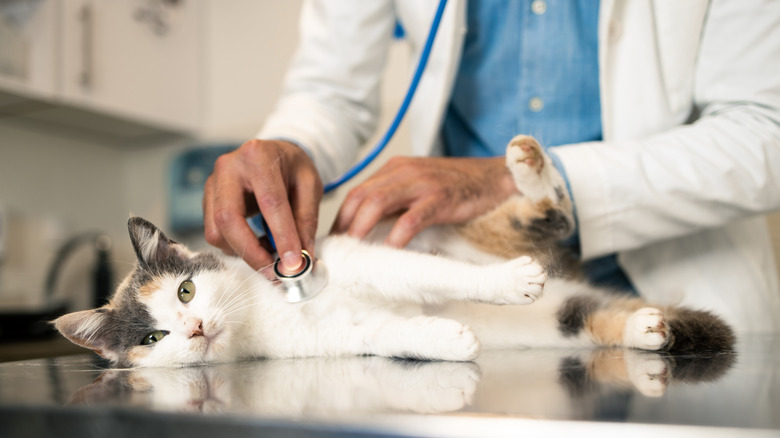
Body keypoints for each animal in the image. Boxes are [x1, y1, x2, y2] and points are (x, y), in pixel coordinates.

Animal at [54, 135, 736, 368]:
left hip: (461, 230)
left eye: (186, 289)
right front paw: (448, 339)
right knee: (588, 316)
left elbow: (428, 274)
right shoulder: (333, 339)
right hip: (563, 326)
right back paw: (647, 327)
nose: (194, 327)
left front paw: (505, 286)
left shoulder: (364, 257)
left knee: (551, 214)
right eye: (153, 338)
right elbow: (386, 333)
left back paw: (529, 166)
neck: (258, 313)